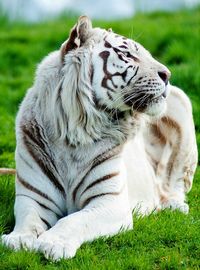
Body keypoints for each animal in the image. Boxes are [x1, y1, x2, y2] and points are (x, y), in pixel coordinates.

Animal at [1, 15, 198, 260]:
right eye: (128, 55)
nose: (168, 75)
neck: (74, 136)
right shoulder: (34, 198)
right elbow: (28, 220)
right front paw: (18, 239)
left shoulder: (110, 202)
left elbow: (74, 220)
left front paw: (53, 242)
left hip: (180, 102)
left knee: (176, 183)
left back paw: (173, 206)